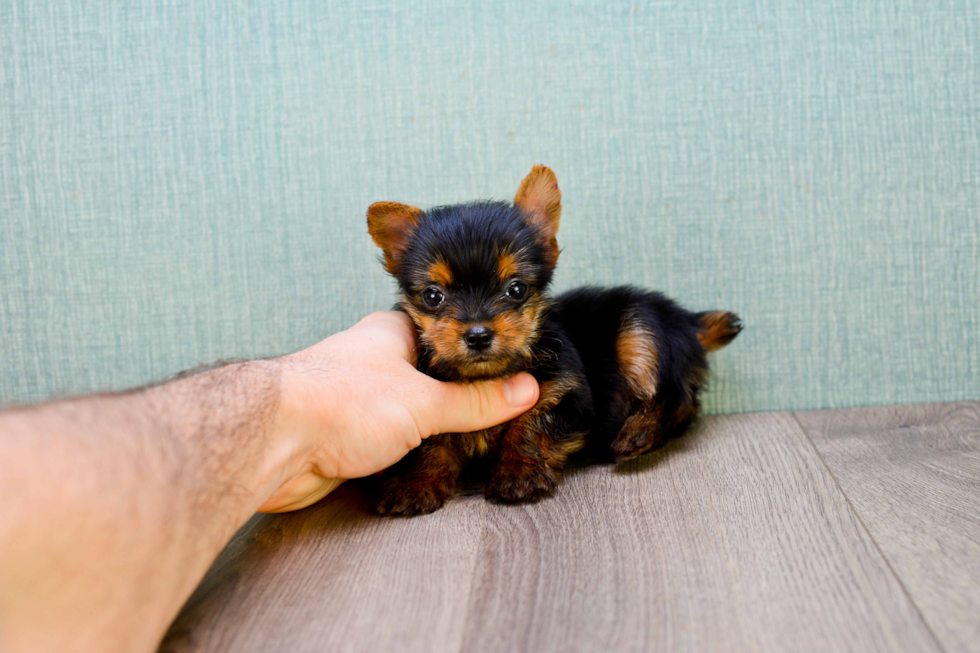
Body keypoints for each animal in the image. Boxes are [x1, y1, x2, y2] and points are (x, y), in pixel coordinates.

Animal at [370, 164, 744, 516]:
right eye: (433, 296)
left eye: (516, 289)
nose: (477, 334)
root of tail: (686, 318)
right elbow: (432, 441)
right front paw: (416, 483)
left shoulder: (568, 394)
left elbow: (531, 423)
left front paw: (519, 472)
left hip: (640, 331)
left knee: (679, 398)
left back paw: (638, 433)